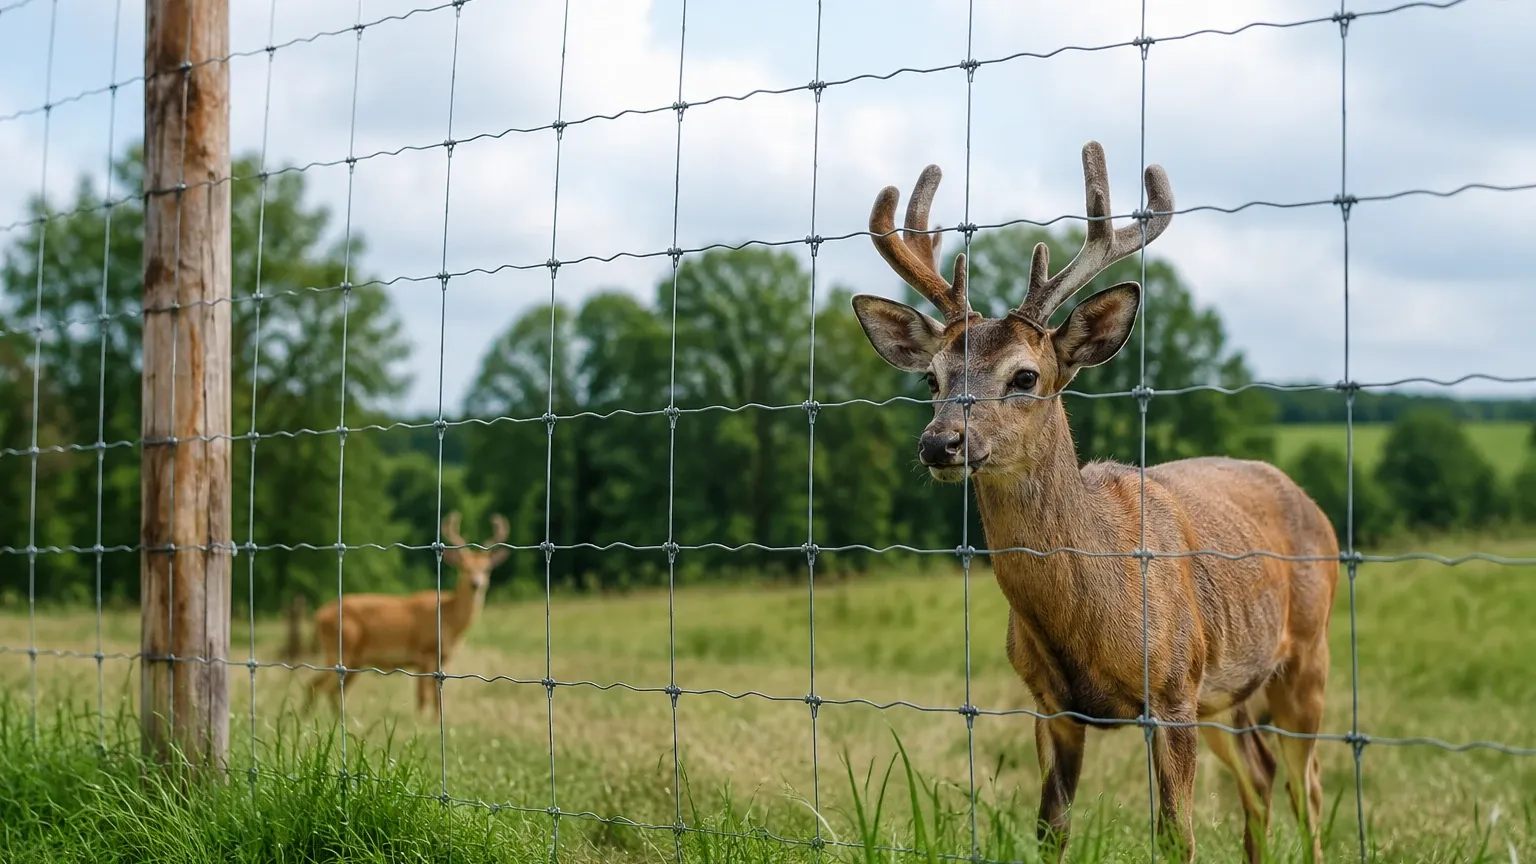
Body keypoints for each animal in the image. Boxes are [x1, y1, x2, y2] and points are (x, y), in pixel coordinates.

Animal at [302, 511, 509, 718]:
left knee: (327, 688)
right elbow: (424, 695)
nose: (476, 584)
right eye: (464, 568)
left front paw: (434, 720)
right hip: (341, 647)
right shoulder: (426, 652)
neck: (449, 618)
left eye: (487, 568)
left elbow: (435, 696)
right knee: (319, 686)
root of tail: (319, 615)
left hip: (354, 660)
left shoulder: (439, 659)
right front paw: (422, 722)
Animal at [849, 142, 1339, 863]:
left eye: (1025, 376)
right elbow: (1050, 830)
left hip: (1306, 654)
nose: (940, 443)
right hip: (1227, 693)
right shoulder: (1049, 704)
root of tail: (1313, 504)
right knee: (1261, 773)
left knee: (1310, 790)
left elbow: (1177, 836)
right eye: (932, 379)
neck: (1089, 618)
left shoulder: (1173, 689)